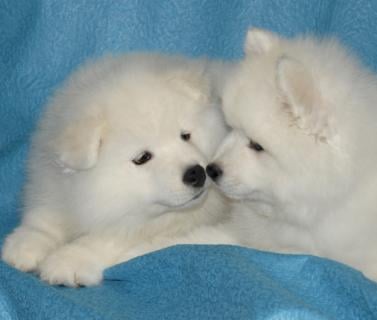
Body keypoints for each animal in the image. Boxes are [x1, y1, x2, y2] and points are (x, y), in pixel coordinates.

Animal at [1, 53, 232, 288]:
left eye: (185, 136)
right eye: (143, 158)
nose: (196, 173)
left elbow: (106, 240)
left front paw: (67, 260)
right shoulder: (53, 183)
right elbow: (44, 215)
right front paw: (24, 244)